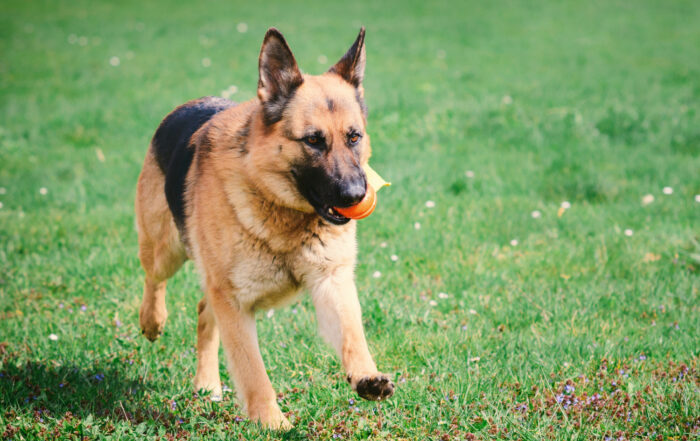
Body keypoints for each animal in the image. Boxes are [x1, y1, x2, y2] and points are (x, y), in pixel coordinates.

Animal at [133, 26, 394, 426]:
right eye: (313, 140)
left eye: (354, 137)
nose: (355, 195)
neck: (284, 212)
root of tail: (183, 107)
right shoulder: (233, 303)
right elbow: (254, 374)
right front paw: (274, 423)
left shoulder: (331, 280)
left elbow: (353, 336)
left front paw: (366, 376)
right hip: (167, 251)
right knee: (154, 278)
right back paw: (152, 321)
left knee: (203, 312)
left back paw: (207, 385)